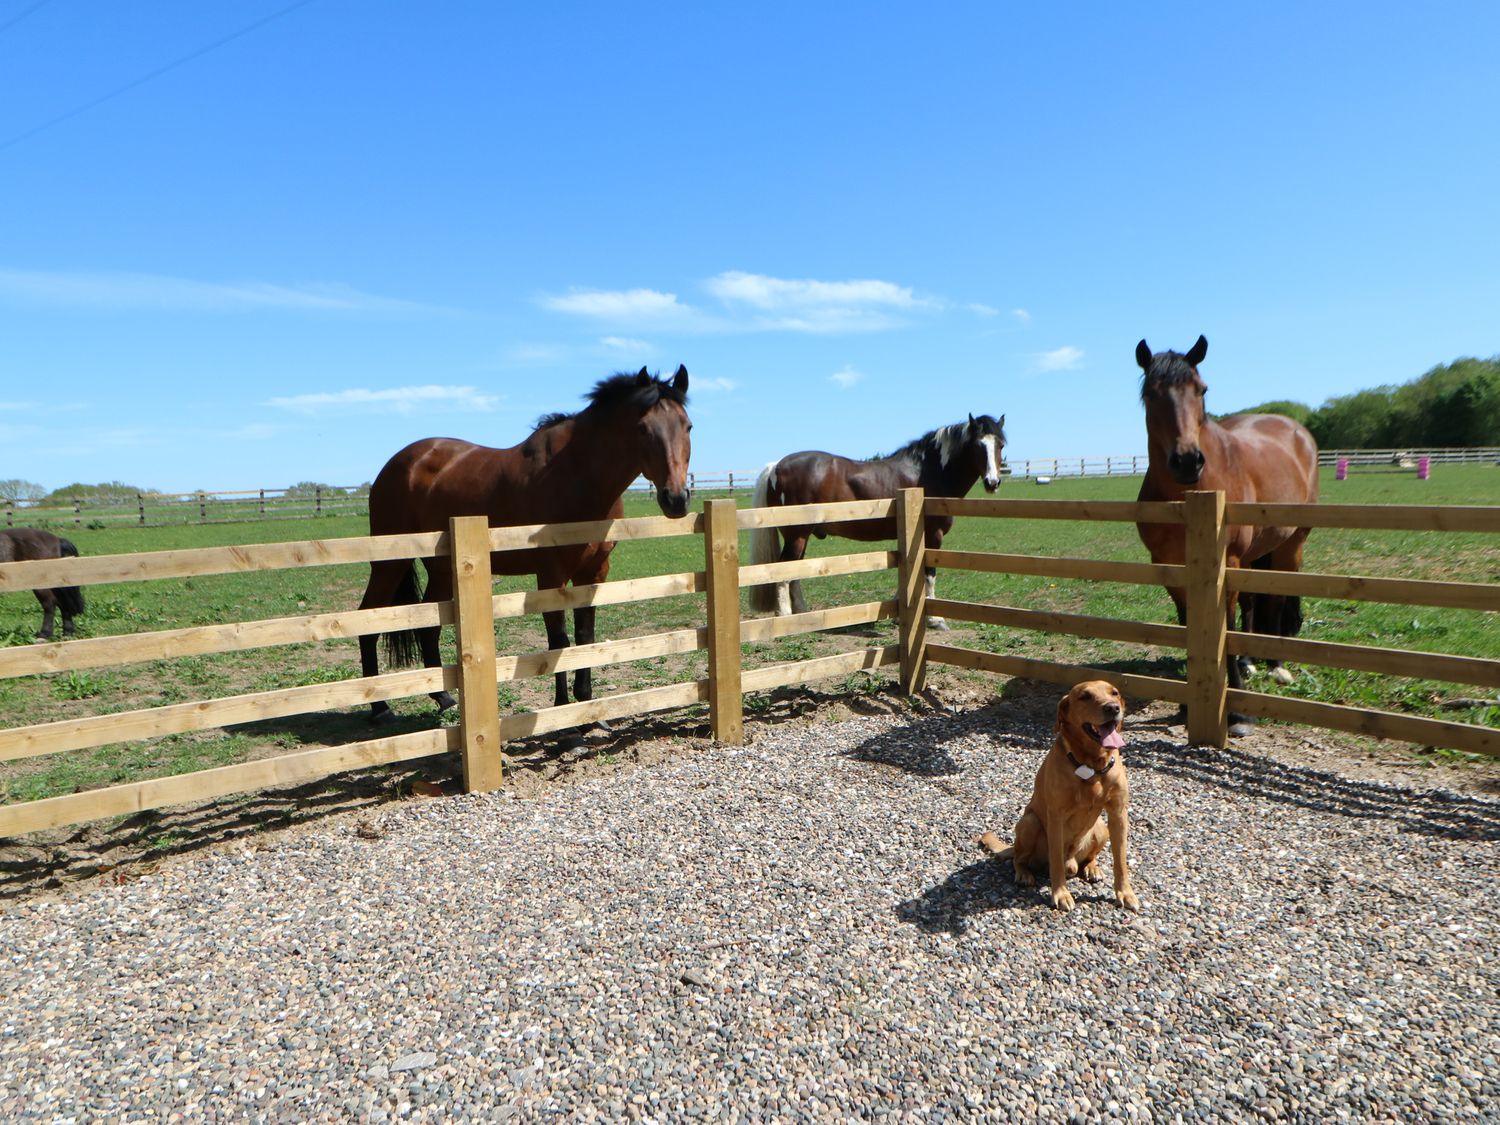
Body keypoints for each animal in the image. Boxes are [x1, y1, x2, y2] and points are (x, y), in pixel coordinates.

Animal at [360, 366, 693, 726]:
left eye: (688, 425)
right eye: (642, 428)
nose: (676, 498)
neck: (576, 476)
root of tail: (400, 462)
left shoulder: (594, 572)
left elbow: (585, 637)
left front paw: (588, 710)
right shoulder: (551, 575)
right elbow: (559, 641)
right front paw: (564, 714)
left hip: (440, 569)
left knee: (428, 625)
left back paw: (445, 698)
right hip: (389, 564)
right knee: (368, 620)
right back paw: (380, 707)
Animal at [750, 414, 1008, 627]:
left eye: (1001, 444)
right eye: (977, 445)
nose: (992, 482)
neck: (929, 472)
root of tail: (776, 466)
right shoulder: (933, 536)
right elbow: (929, 574)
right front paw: (935, 619)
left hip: (800, 537)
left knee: (794, 571)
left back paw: (802, 613)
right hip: (797, 535)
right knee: (783, 571)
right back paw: (784, 616)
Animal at [978, 678, 1140, 918]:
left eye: (1115, 693)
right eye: (1085, 696)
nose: (1113, 708)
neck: (1091, 765)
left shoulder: (1118, 813)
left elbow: (1120, 860)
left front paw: (1125, 893)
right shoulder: (1056, 816)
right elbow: (1055, 861)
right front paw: (1061, 894)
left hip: (1101, 828)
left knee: (1089, 857)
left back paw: (1091, 868)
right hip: (1030, 823)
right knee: (1019, 858)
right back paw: (1024, 874)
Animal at [1140, 334, 1320, 741]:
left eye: (1202, 389)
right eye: (1150, 394)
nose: (1187, 461)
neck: (1188, 496)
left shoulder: (1227, 561)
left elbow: (1227, 624)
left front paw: (1238, 710)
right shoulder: (1170, 566)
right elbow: (1190, 622)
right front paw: (1187, 703)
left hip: (1292, 544)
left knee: (1277, 598)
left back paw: (1276, 664)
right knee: (1254, 601)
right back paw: (1250, 661)